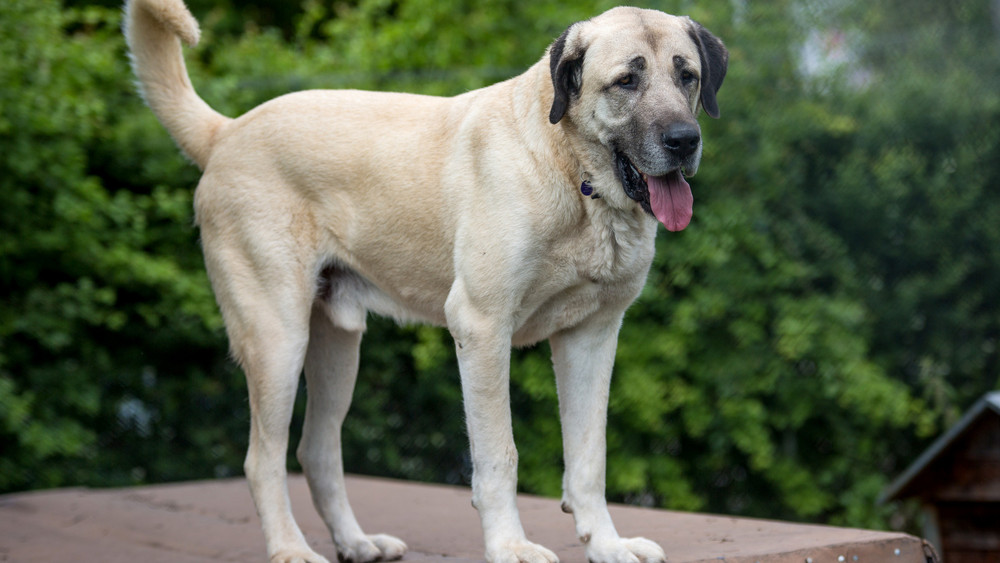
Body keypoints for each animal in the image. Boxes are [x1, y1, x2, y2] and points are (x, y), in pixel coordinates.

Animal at [127, 2, 728, 560]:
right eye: (626, 80)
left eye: (687, 76)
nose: (684, 140)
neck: (574, 176)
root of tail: (227, 131)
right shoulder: (482, 328)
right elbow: (499, 455)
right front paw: (510, 546)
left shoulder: (593, 336)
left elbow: (588, 458)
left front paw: (607, 544)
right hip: (278, 338)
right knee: (262, 460)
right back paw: (290, 549)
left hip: (337, 347)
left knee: (315, 453)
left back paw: (356, 541)